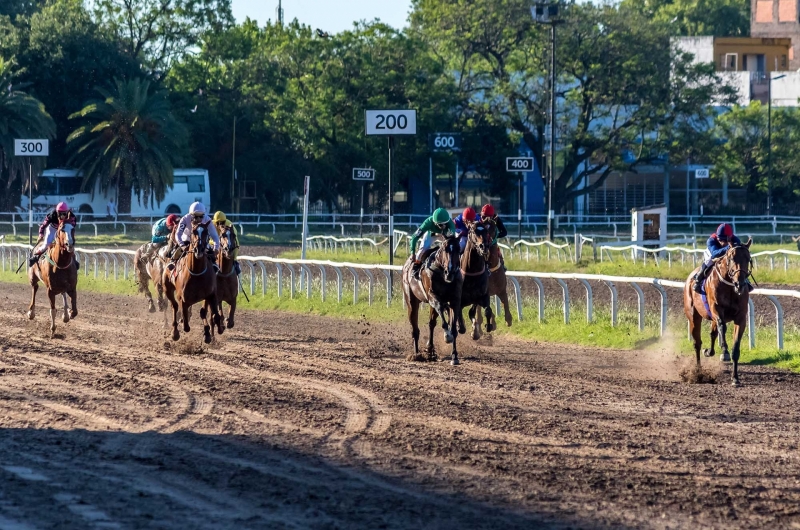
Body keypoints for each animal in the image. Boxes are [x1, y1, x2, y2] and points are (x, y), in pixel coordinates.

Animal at [404, 234, 466, 364]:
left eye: (458, 249)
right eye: (444, 249)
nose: (450, 272)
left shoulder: (455, 300)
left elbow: (453, 328)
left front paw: (454, 356)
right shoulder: (433, 297)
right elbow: (442, 313)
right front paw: (447, 335)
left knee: (432, 323)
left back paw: (430, 350)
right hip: (411, 301)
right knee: (415, 329)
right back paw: (416, 355)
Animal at [684, 238, 752, 384]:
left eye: (748, 258)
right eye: (731, 258)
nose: (740, 283)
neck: (730, 287)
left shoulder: (741, 318)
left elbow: (735, 349)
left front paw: (735, 378)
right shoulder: (716, 310)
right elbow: (722, 326)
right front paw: (725, 351)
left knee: (713, 334)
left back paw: (709, 351)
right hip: (693, 316)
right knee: (697, 343)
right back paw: (698, 372)